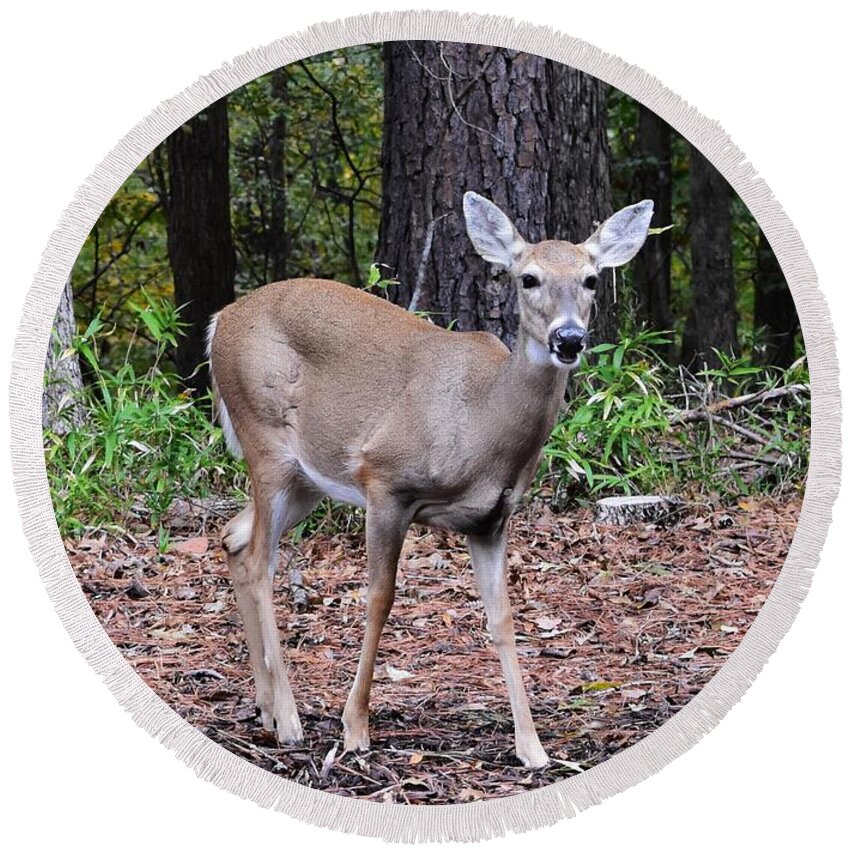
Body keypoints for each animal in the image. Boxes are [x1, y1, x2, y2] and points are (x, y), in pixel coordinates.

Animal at [207, 194, 656, 768]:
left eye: (592, 279)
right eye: (528, 278)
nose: (569, 338)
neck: (481, 423)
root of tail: (221, 320)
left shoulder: (491, 520)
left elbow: (502, 618)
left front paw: (532, 747)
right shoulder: (385, 481)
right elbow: (380, 598)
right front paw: (355, 728)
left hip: (307, 479)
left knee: (235, 538)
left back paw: (264, 708)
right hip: (265, 440)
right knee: (261, 561)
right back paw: (288, 720)